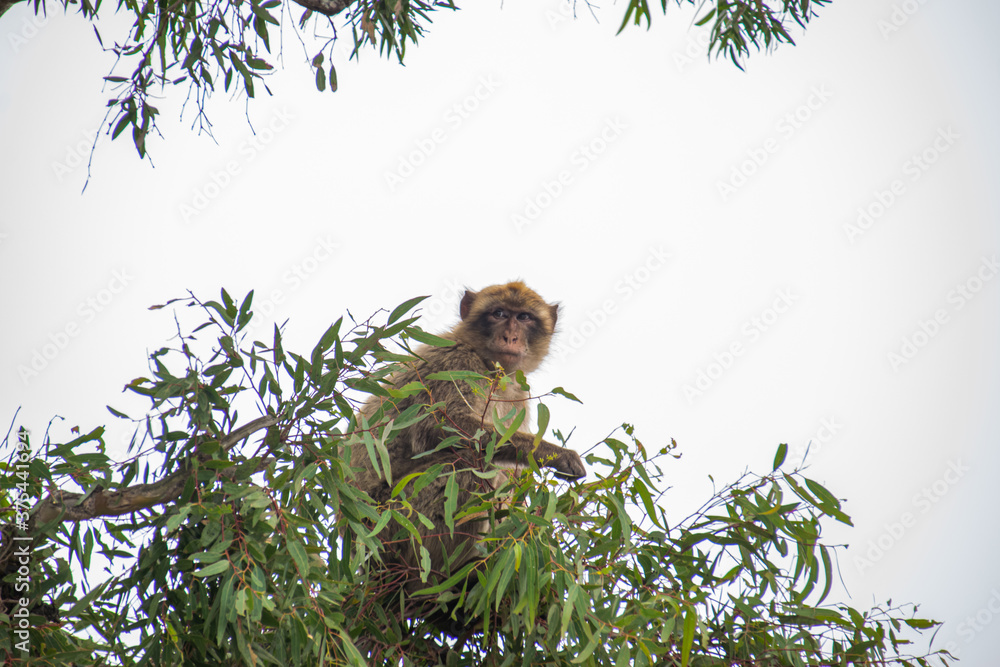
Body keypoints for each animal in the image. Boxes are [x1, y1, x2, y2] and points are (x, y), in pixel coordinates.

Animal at [352, 280, 584, 600]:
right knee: (462, 469)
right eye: (499, 314)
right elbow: (443, 429)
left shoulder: (519, 398)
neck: (490, 367)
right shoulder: (455, 363)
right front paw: (557, 454)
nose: (510, 336)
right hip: (394, 523)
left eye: (524, 317)